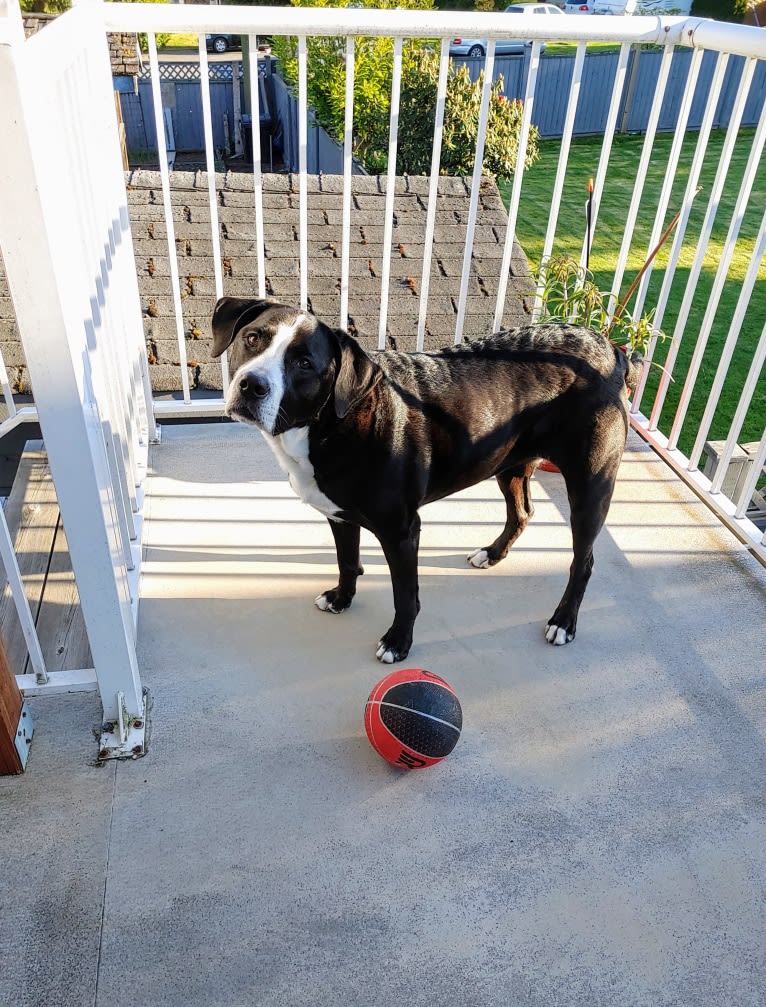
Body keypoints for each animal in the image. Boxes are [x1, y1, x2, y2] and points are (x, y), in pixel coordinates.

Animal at [212, 296, 636, 660]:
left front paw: (398, 642)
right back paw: (493, 553)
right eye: (253, 338)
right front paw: (341, 599)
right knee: (522, 513)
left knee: (583, 561)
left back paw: (563, 621)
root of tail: (609, 348)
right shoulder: (339, 517)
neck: (333, 422)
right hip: (509, 465)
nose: (252, 385)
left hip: (590, 487)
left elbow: (405, 594)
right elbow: (347, 562)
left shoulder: (401, 531)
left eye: (303, 363)